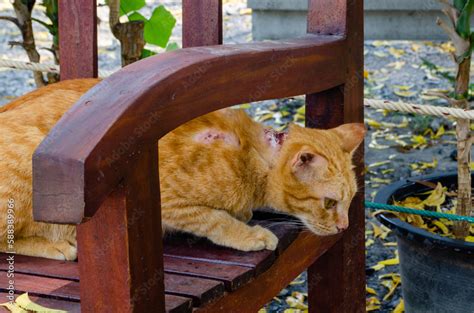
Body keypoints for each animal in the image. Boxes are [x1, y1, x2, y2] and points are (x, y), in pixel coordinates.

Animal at [0, 78, 364, 258]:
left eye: (349, 202)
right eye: (330, 203)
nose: (344, 227)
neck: (252, 157)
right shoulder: (166, 202)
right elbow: (213, 219)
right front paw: (249, 234)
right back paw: (56, 244)